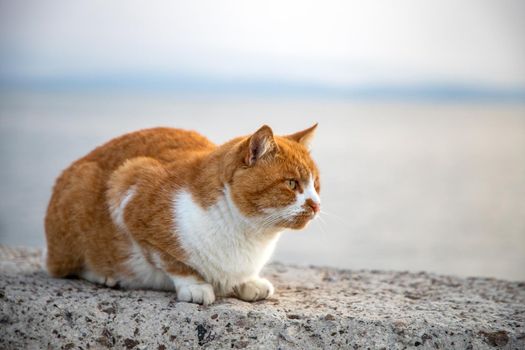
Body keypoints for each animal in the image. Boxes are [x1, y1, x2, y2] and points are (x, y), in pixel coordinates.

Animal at [44, 124, 320, 304]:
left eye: (316, 184)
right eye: (292, 184)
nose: (316, 205)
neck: (250, 234)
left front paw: (248, 281)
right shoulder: (130, 185)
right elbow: (172, 262)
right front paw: (195, 286)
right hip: (79, 193)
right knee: (62, 267)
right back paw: (105, 275)